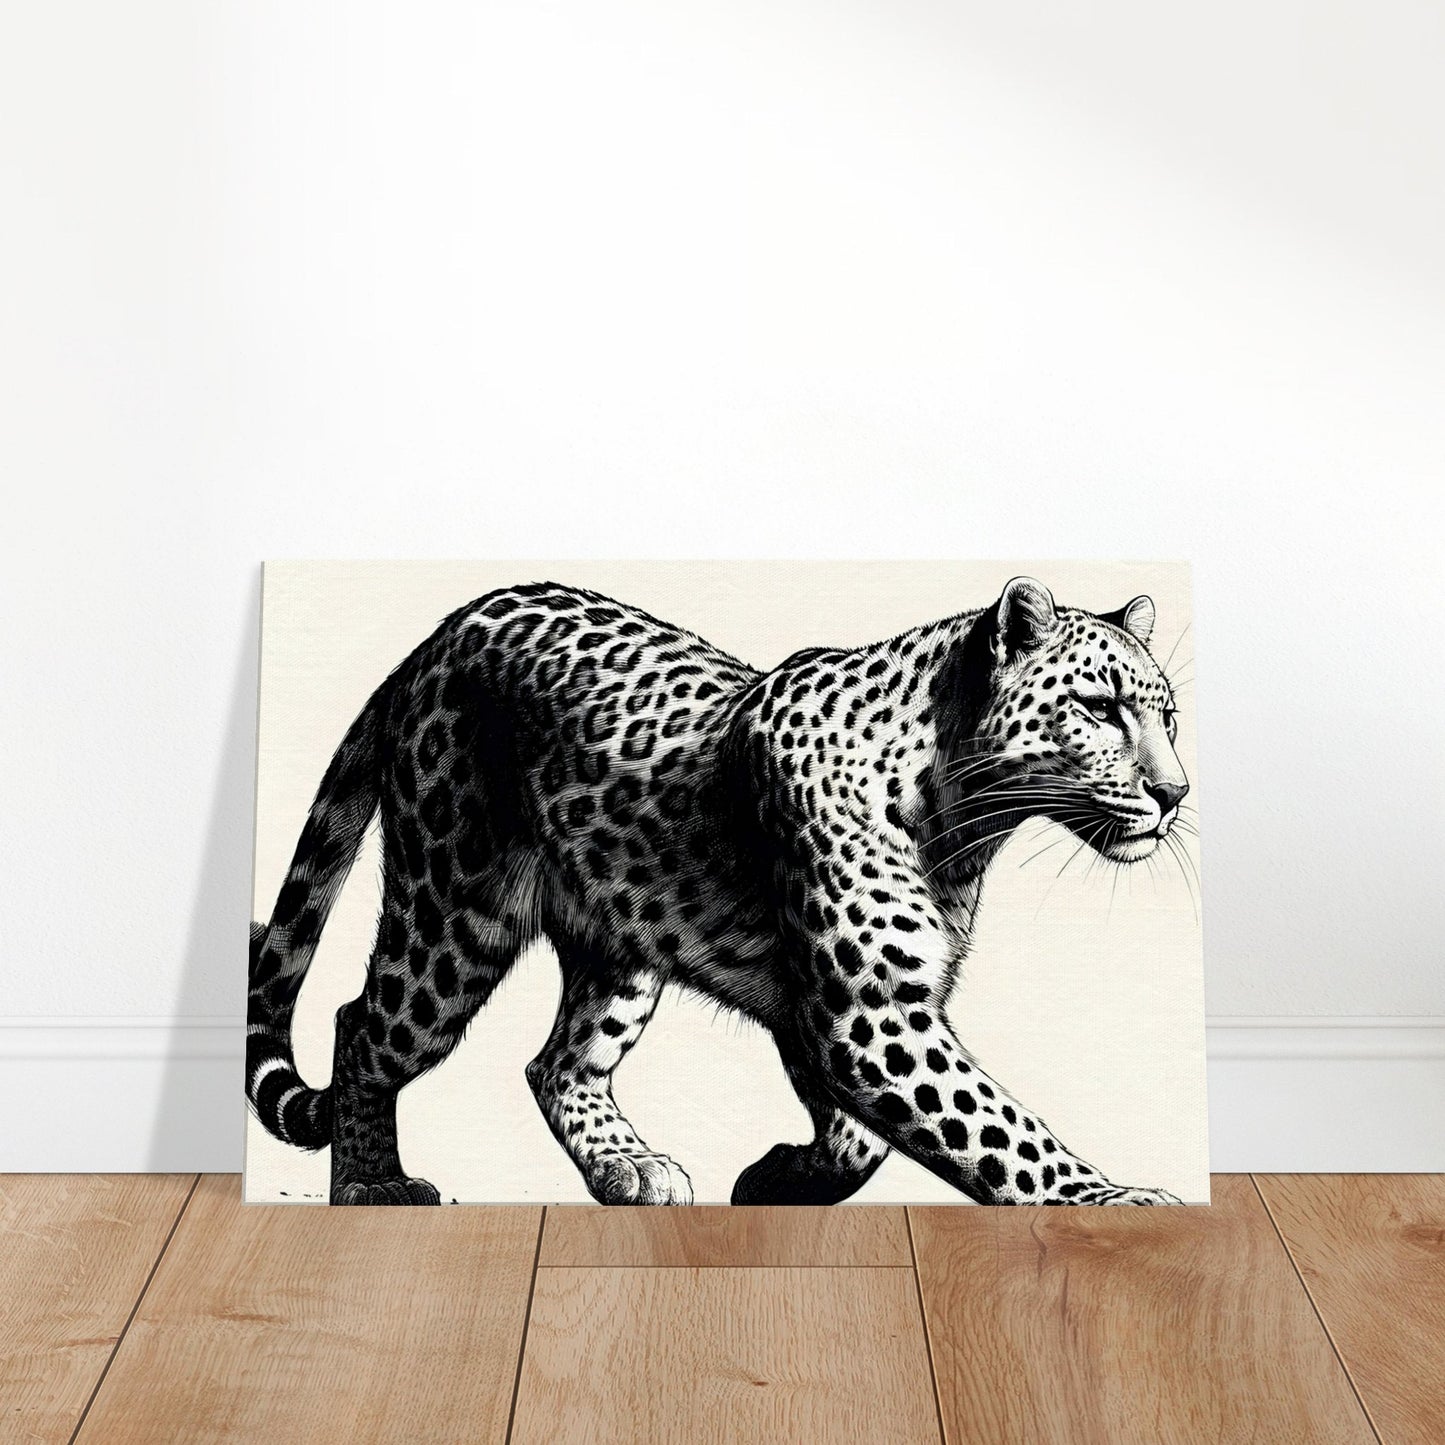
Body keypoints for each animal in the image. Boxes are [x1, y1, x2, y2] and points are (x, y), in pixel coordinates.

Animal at [247, 575, 1191, 1206]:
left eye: (1169, 717)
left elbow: (865, 1139)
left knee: (556, 1061)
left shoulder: (831, 1005)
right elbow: (991, 1125)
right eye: (1100, 707)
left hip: (617, 943)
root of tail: (434, 639)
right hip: (453, 917)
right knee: (362, 1025)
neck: (960, 812)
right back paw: (372, 1183)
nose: (1174, 792)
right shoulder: (866, 1009)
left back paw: (627, 1166)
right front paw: (1107, 1201)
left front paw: (785, 1176)